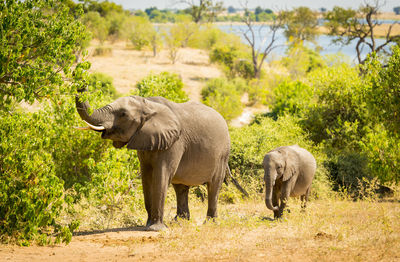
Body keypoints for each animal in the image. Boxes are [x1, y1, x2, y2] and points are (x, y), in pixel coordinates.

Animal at [75, 93, 230, 230]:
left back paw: (210, 223)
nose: (82, 85)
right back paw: (179, 221)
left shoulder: (174, 142)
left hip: (223, 155)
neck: (148, 105)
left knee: (213, 186)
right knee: (180, 188)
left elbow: (161, 175)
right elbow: (147, 176)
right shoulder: (145, 139)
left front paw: (155, 229)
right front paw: (148, 225)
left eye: (123, 114)